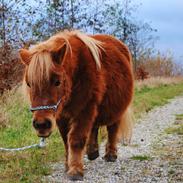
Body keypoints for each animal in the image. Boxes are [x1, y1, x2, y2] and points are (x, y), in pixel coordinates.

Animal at [19, 29, 134, 180]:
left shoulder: (84, 110)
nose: (41, 124)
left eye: (57, 82)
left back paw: (110, 154)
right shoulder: (61, 115)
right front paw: (68, 165)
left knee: (112, 129)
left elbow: (76, 139)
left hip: (115, 109)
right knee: (94, 127)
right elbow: (66, 140)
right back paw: (92, 152)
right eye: (29, 84)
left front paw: (75, 170)